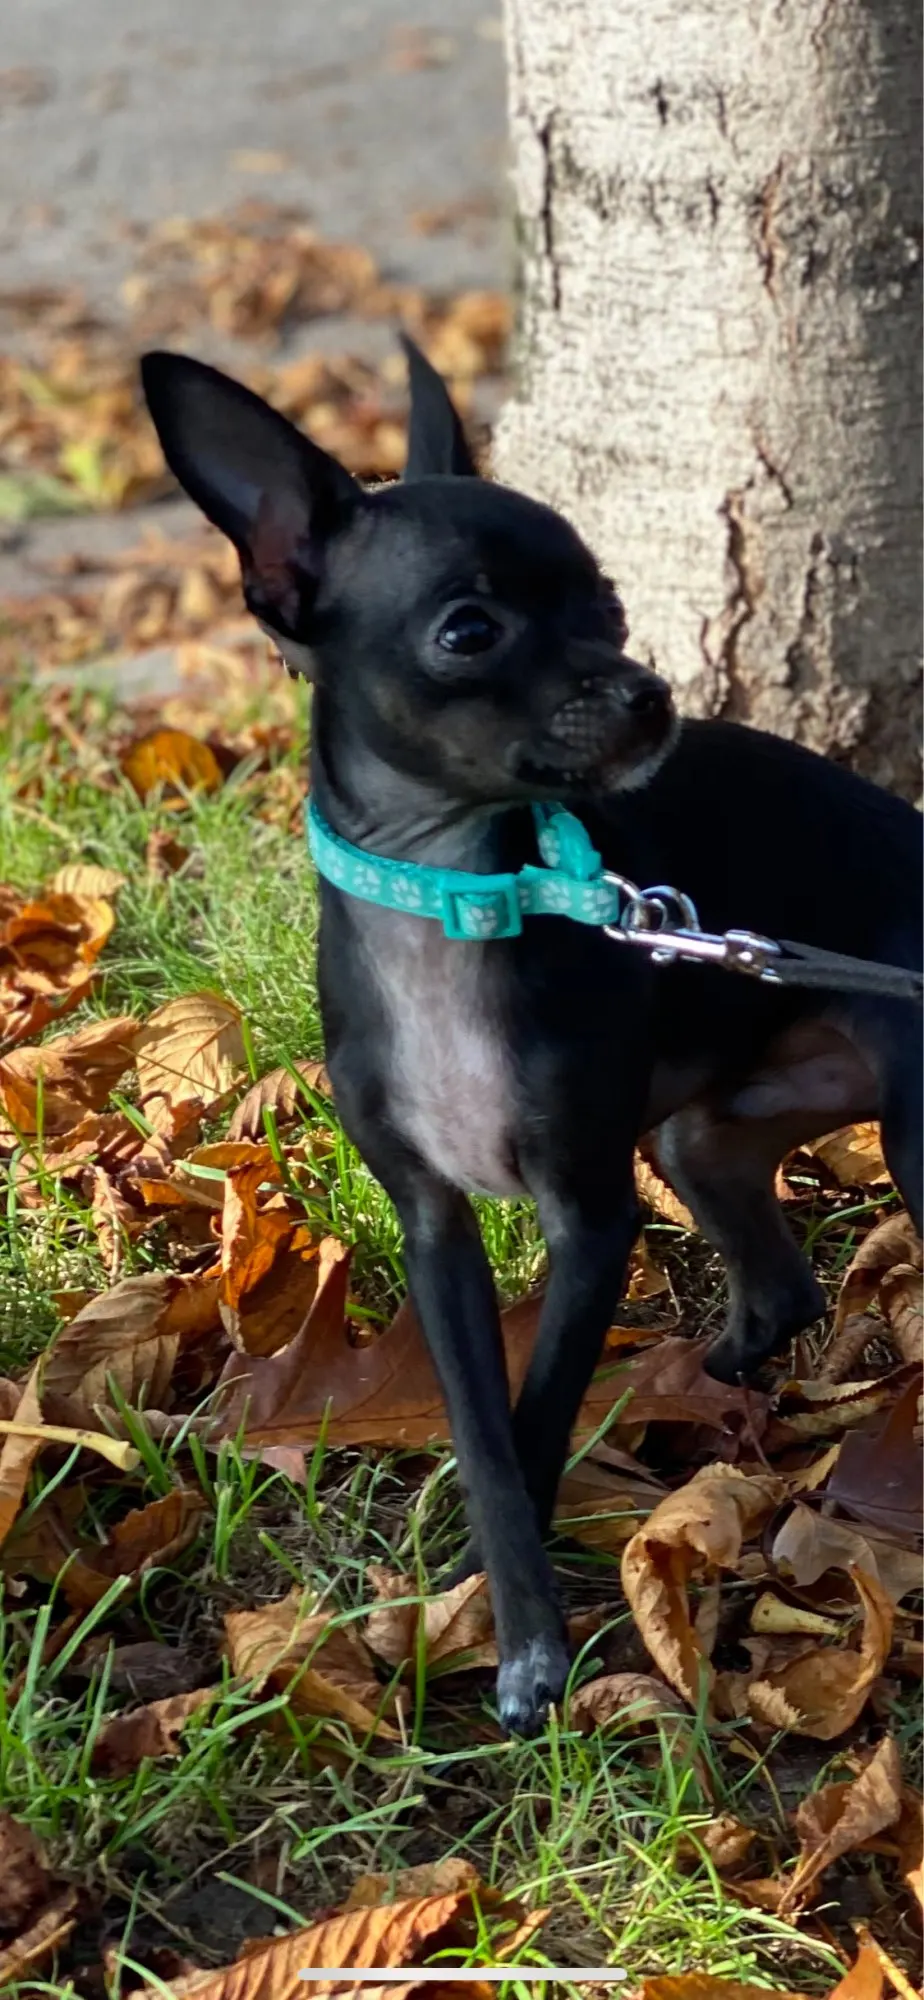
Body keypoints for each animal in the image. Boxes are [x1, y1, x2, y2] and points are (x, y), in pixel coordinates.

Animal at [141, 339, 922, 1736]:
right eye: (471, 630)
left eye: (609, 603)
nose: (651, 692)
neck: (458, 896)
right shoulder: (435, 1227)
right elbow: (485, 1430)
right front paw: (503, 1609)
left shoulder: (589, 1216)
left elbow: (538, 1407)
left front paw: (526, 1631)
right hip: (701, 1138)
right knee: (780, 1284)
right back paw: (706, 1384)